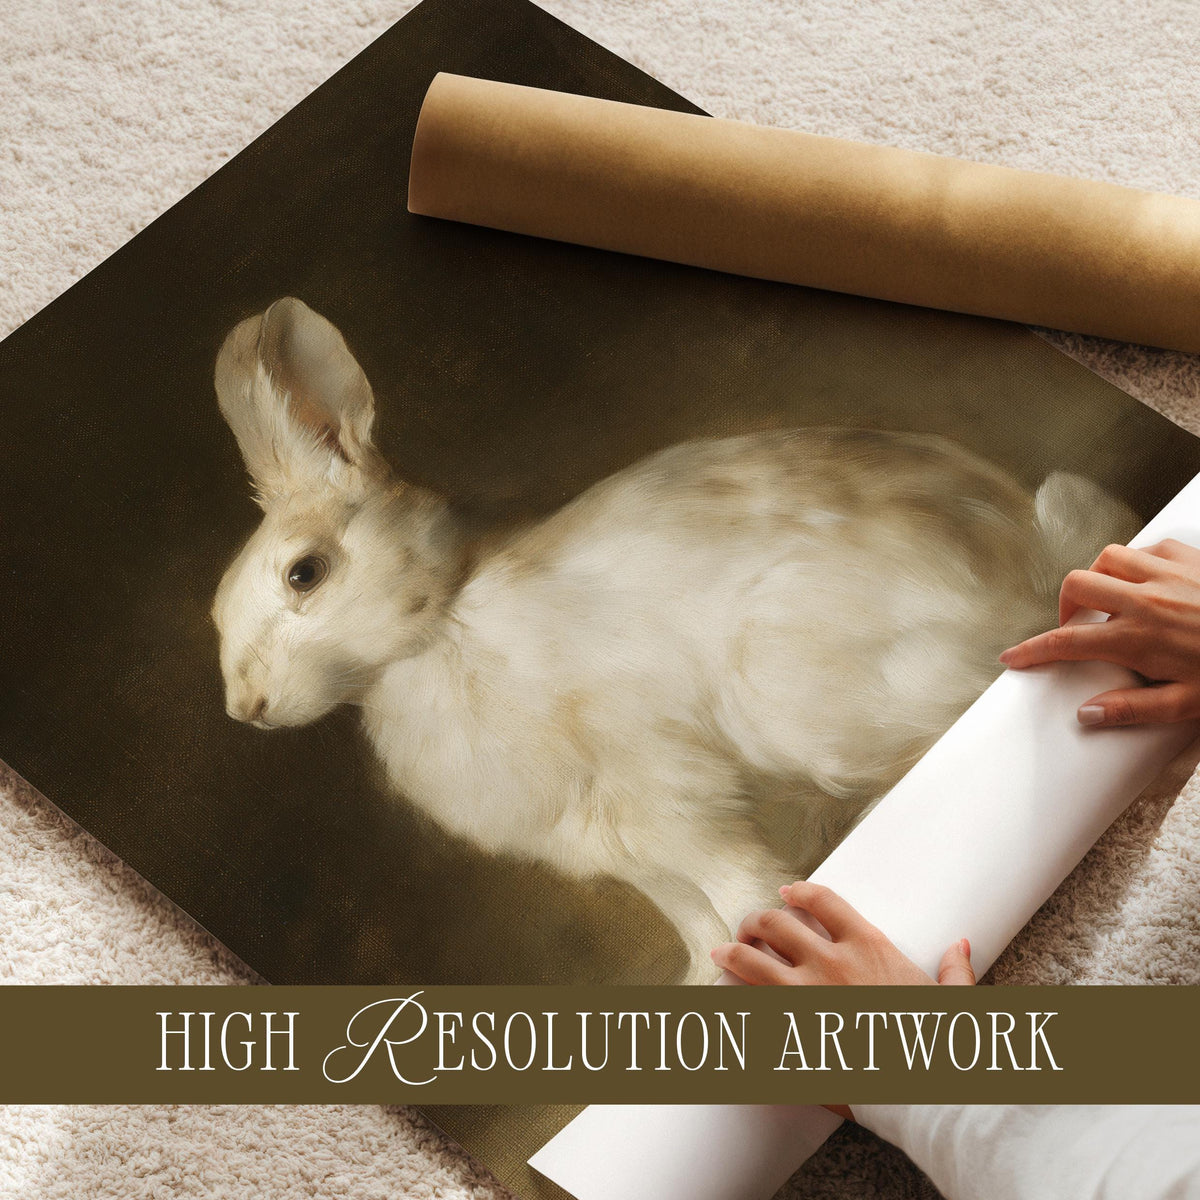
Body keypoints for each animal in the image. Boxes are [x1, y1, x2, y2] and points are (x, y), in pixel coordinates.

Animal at [211, 297, 1138, 984]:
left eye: (304, 574)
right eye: (215, 618)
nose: (246, 708)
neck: (439, 626)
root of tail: (1039, 565)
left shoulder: (668, 797)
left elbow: (741, 891)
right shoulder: (624, 848)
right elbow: (699, 923)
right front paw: (708, 985)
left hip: (795, 689)